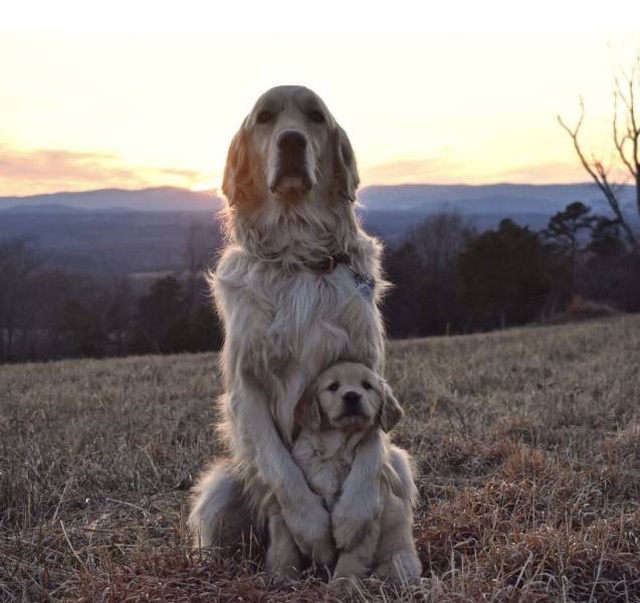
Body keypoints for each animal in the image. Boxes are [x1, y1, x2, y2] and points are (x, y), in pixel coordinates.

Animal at [188, 86, 390, 568]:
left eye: (316, 117)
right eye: (265, 118)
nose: (292, 141)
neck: (298, 253)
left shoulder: (368, 365)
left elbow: (372, 447)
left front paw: (354, 516)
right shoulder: (247, 388)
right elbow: (277, 464)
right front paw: (312, 529)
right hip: (222, 490)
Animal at [264, 360, 420, 584]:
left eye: (367, 385)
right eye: (333, 386)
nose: (352, 396)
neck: (336, 450)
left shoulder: (364, 519)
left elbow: (352, 557)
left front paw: (341, 585)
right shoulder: (284, 509)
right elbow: (285, 545)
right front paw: (283, 579)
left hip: (400, 559)